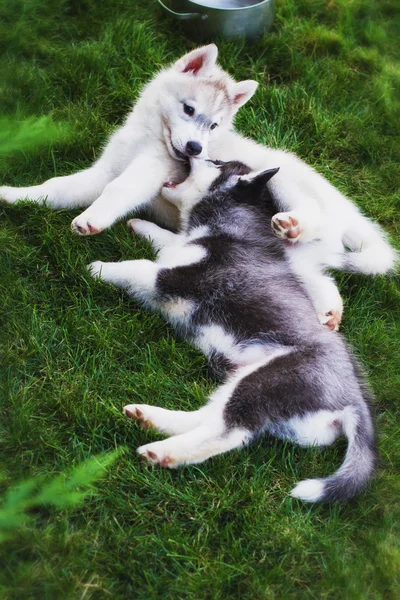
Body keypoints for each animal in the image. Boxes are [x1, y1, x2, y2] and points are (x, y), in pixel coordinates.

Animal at [0, 45, 394, 328]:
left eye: (214, 126)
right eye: (188, 110)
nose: (195, 149)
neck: (149, 134)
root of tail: (344, 210)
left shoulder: (149, 171)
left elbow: (119, 190)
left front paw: (91, 220)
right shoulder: (102, 172)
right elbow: (57, 188)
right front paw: (15, 196)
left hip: (288, 186)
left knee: (313, 218)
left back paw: (293, 224)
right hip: (293, 261)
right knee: (323, 280)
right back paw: (329, 312)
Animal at [89, 158, 376, 502]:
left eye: (216, 163)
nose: (195, 153)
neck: (222, 226)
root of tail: (354, 399)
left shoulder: (178, 277)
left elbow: (138, 267)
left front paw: (101, 268)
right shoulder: (177, 253)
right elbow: (167, 241)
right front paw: (140, 225)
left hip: (265, 380)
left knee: (227, 433)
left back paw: (164, 452)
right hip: (242, 383)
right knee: (211, 418)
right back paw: (148, 417)